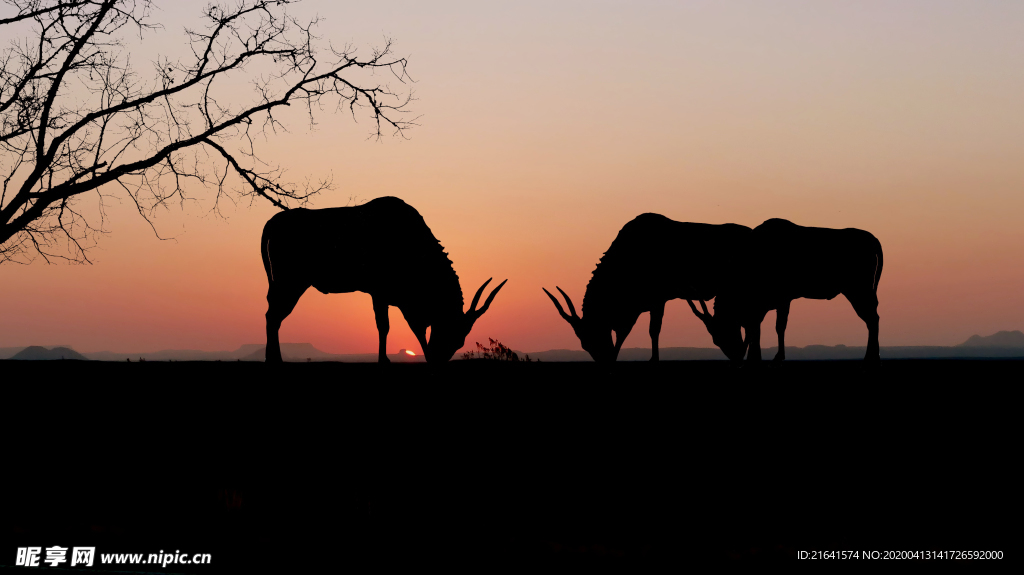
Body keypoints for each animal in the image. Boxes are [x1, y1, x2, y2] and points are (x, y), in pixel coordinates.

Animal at [260, 194, 507, 360]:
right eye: (452, 333)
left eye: (460, 341)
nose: (437, 359)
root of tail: (272, 223)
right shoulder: (380, 293)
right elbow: (387, 326)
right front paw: (384, 360)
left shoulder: (397, 299)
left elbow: (412, 328)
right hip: (291, 282)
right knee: (273, 315)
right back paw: (274, 359)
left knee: (273, 314)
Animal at [544, 212, 753, 360]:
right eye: (584, 345)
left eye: (594, 336)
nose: (605, 359)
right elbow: (624, 332)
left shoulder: (657, 301)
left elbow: (652, 330)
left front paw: (653, 359)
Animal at [708, 216, 884, 360]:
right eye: (716, 340)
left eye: (723, 332)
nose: (736, 356)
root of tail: (872, 238)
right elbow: (756, 328)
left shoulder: (783, 300)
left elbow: (779, 326)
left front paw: (778, 356)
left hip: (858, 290)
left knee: (872, 318)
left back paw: (871, 357)